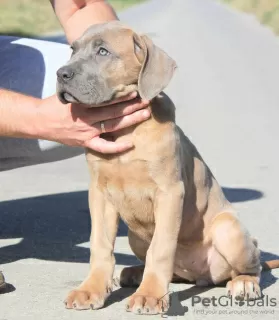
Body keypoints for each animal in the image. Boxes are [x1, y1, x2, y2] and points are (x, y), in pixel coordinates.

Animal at [56, 20, 279, 316]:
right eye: (73, 49)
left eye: (103, 51)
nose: (61, 74)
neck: (125, 130)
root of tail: (200, 275)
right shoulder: (99, 195)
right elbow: (100, 245)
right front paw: (90, 290)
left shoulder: (170, 192)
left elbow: (160, 249)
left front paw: (149, 296)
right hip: (136, 236)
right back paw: (133, 273)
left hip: (228, 230)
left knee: (253, 266)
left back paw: (244, 283)